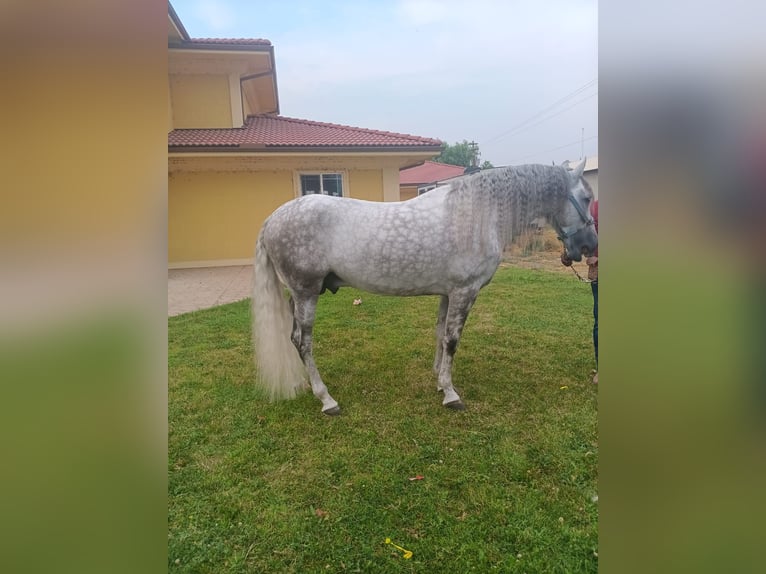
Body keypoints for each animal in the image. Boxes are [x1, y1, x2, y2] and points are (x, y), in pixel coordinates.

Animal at [254, 160, 600, 416]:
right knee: (303, 342)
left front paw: (438, 380)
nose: (590, 246)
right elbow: (452, 340)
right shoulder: (464, 292)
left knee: (293, 338)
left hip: (297, 296)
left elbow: (439, 333)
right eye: (586, 199)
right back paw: (326, 399)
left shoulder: (448, 293)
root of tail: (271, 219)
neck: (478, 215)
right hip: (306, 293)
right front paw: (450, 393)